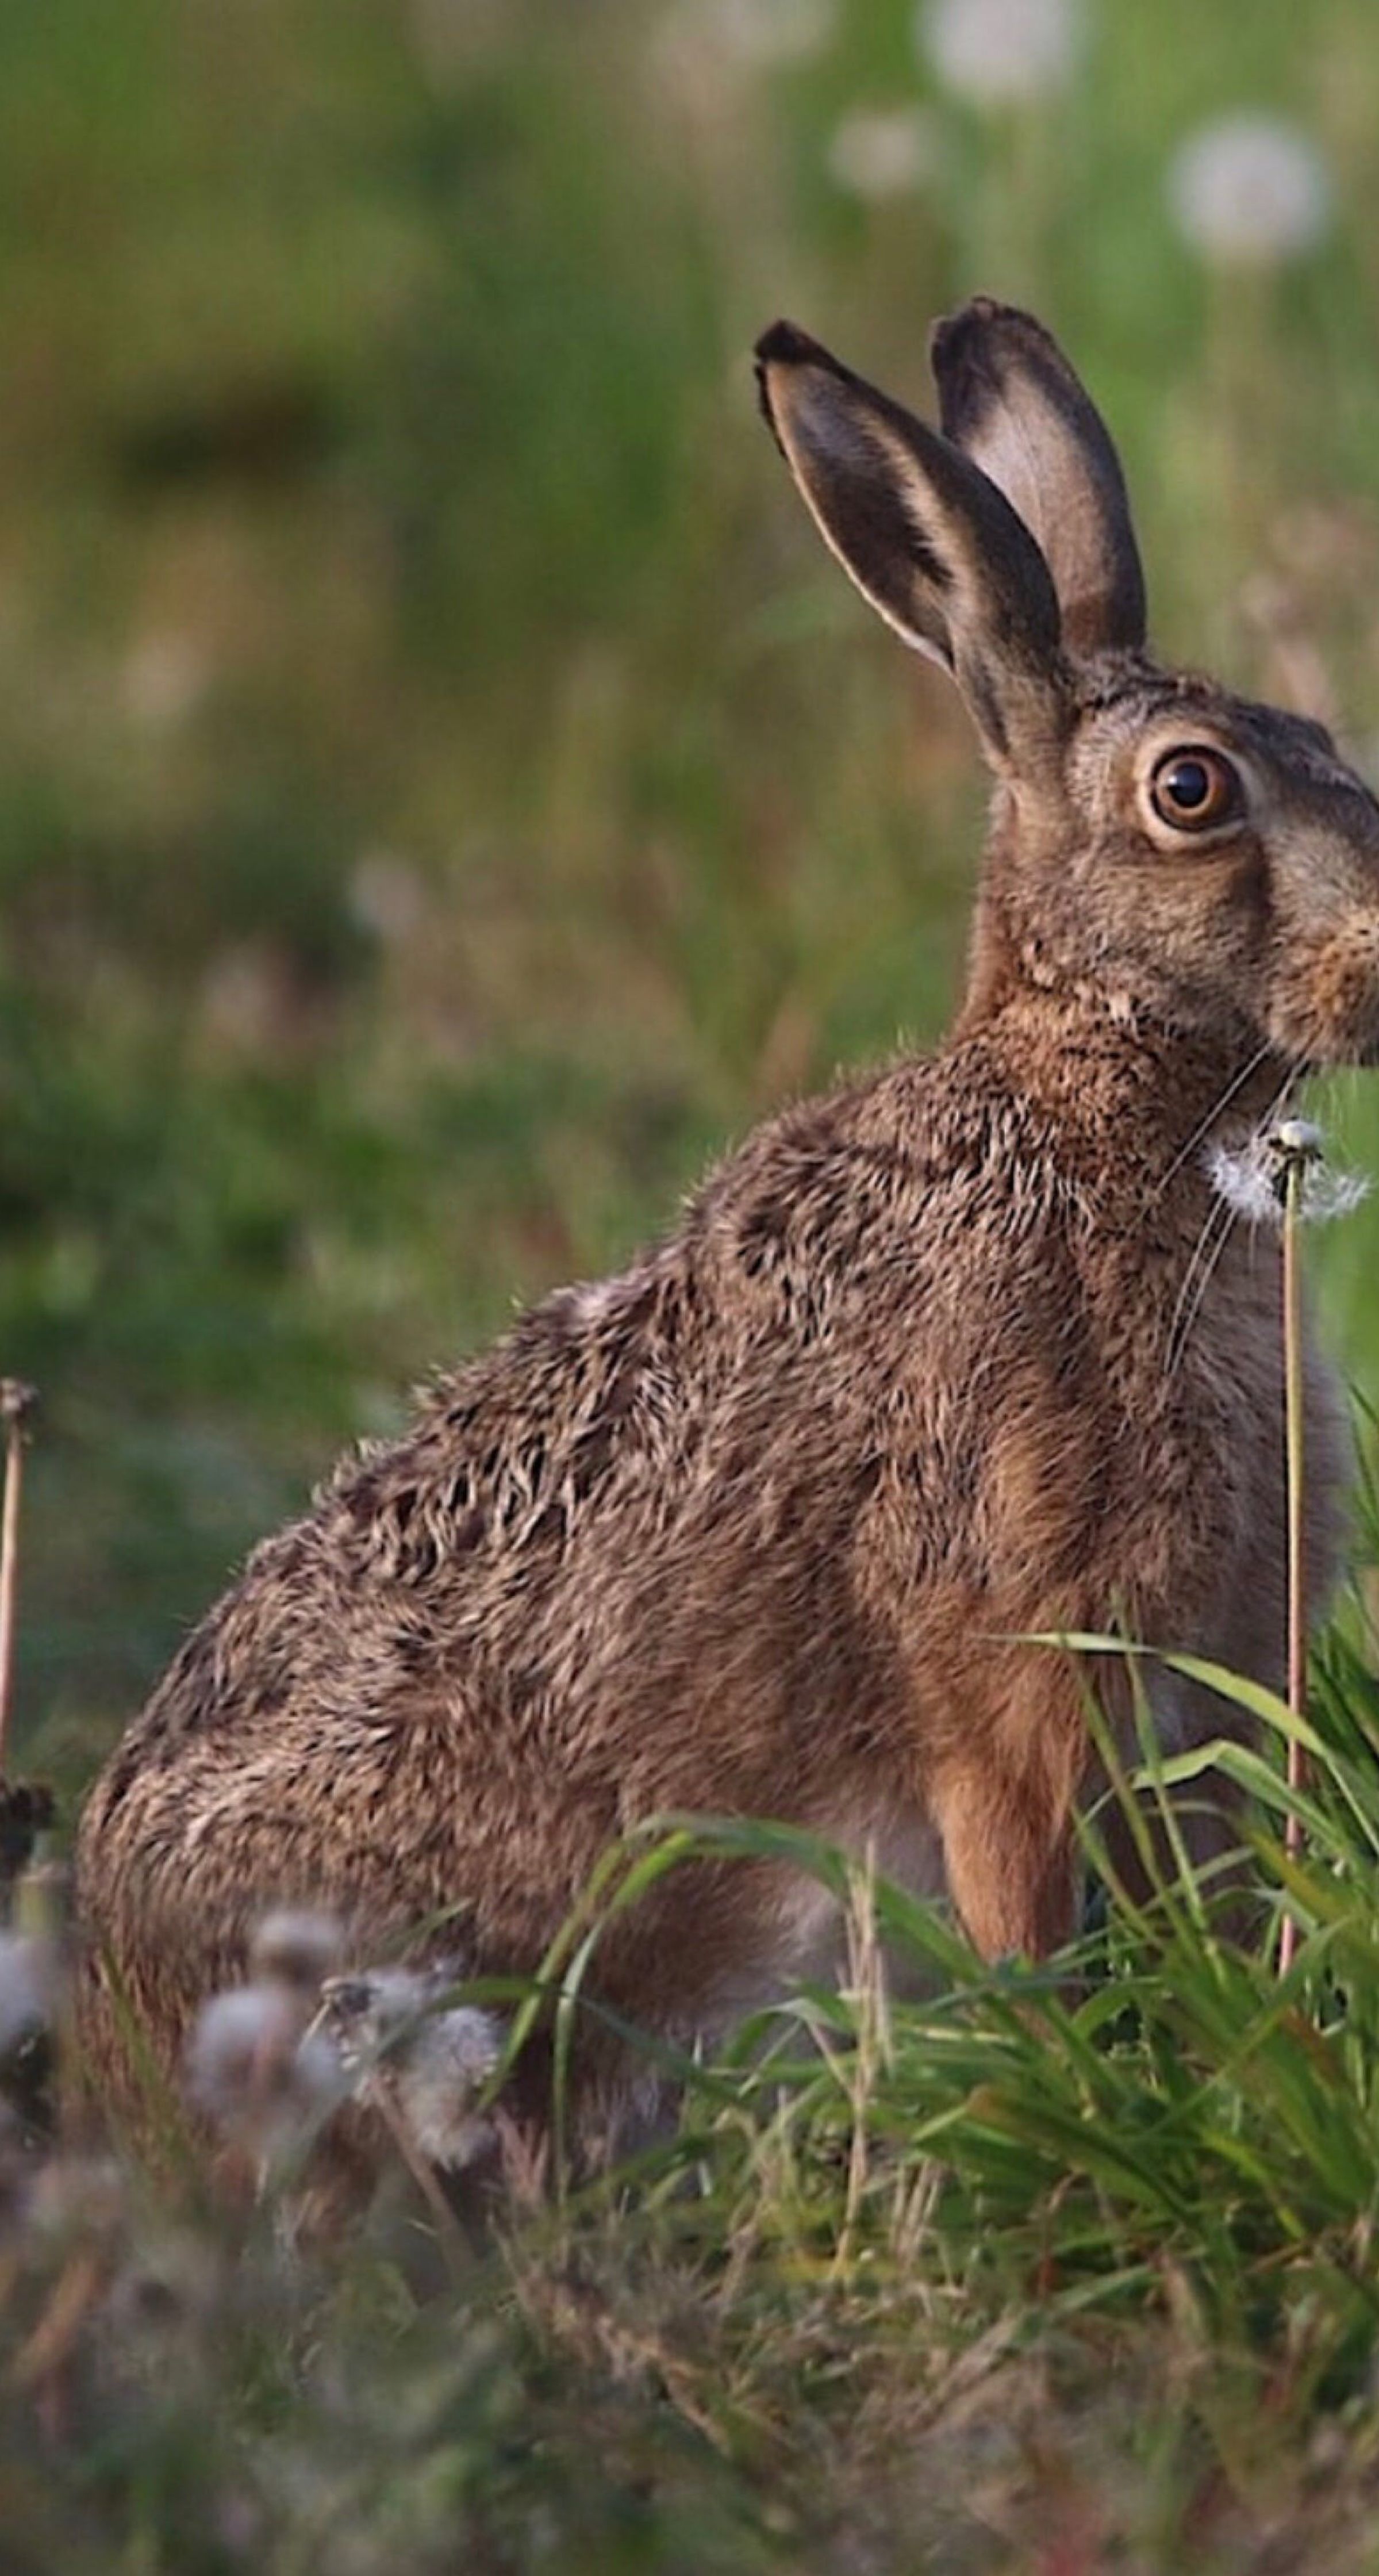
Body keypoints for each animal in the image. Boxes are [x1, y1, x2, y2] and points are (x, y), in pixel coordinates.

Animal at [75, 297, 1379, 2173]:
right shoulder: (1002, 1676)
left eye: (1328, 743)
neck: (1091, 1114)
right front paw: (1056, 2077)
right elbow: (1015, 1903)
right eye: (1191, 791)